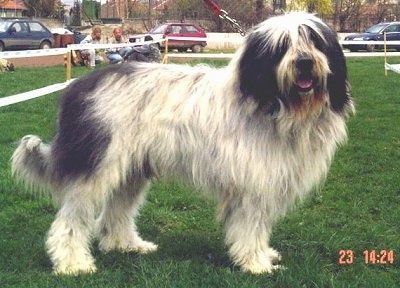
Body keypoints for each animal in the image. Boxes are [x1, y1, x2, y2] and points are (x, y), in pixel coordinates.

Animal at [10, 12, 354, 274]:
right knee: (71, 220)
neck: (275, 106)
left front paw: (263, 255)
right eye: (283, 46)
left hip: (131, 170)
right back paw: (73, 263)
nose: (305, 62)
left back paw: (127, 245)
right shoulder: (252, 185)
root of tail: (78, 87)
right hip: (96, 165)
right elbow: (251, 227)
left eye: (315, 41)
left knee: (115, 212)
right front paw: (256, 264)